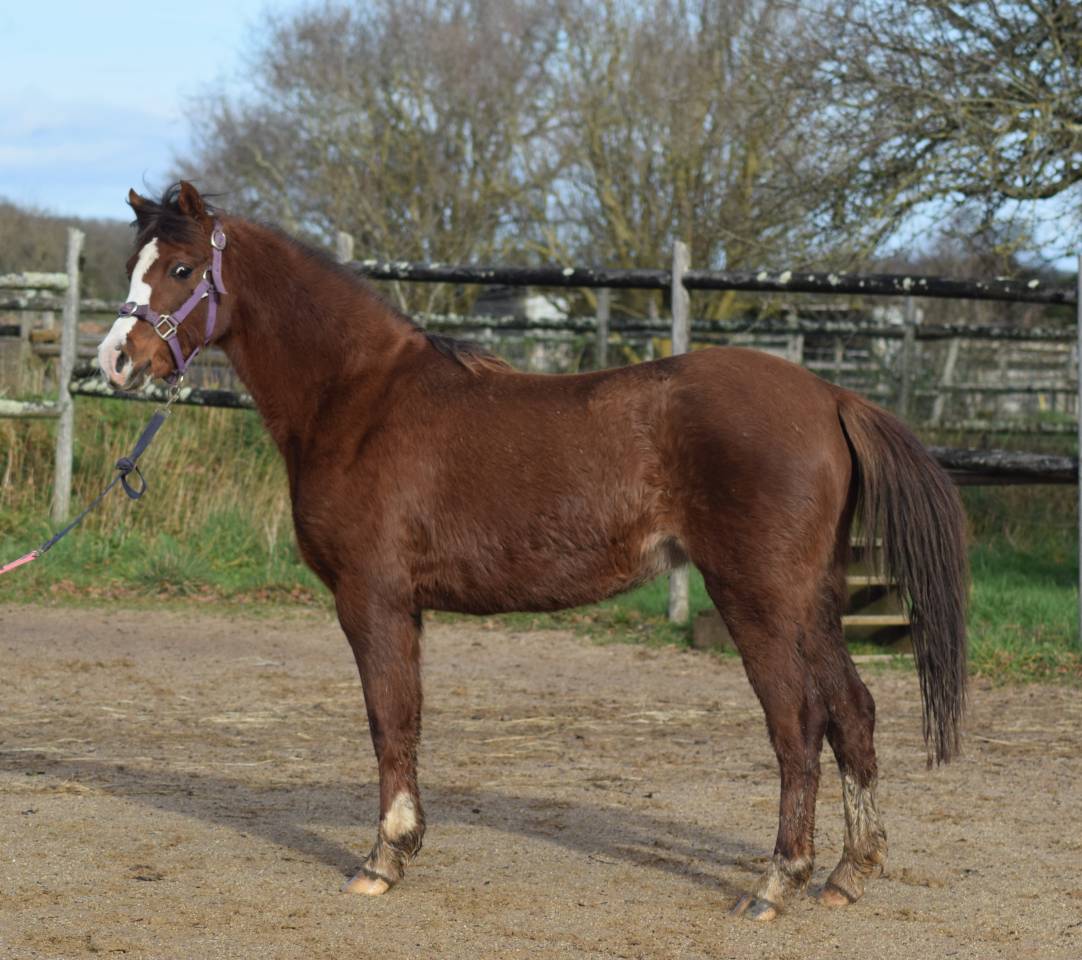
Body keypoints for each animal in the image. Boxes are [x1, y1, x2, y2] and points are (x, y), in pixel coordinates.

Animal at [96, 181, 967, 922]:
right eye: (134, 263)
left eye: (180, 267)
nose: (115, 360)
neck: (359, 399)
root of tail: (831, 396)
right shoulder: (404, 606)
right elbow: (407, 717)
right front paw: (403, 845)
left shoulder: (371, 597)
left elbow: (388, 720)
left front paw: (383, 858)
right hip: (814, 600)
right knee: (852, 711)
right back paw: (850, 873)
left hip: (759, 597)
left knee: (798, 723)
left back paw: (777, 883)